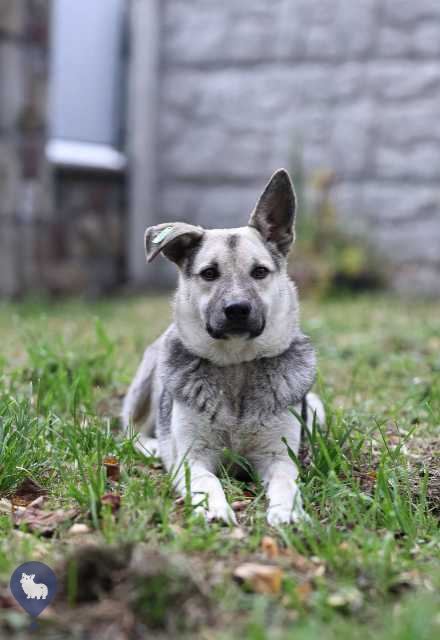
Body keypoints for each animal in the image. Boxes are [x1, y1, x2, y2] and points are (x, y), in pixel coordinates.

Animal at [122, 169, 324, 524]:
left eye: (260, 271)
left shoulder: (278, 455)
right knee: (130, 431)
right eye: (209, 273)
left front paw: (286, 511)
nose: (237, 309)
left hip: (316, 409)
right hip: (145, 381)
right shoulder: (193, 458)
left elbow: (286, 481)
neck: (237, 365)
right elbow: (207, 480)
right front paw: (215, 508)